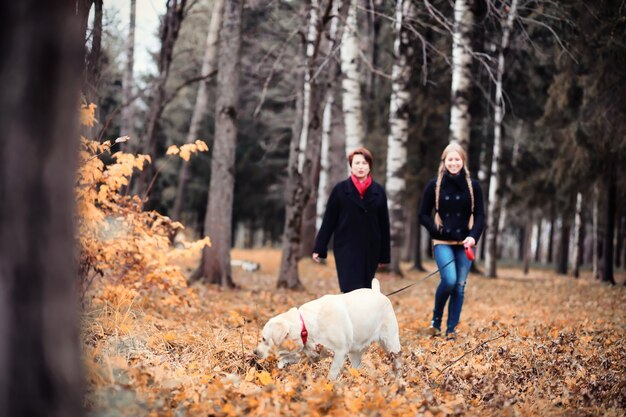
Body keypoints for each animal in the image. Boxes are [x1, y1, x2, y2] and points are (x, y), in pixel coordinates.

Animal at [252, 278, 400, 378]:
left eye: (264, 339)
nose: (254, 352)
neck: (306, 327)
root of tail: (378, 292)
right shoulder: (311, 355)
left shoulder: (340, 352)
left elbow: (332, 374)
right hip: (355, 352)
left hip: (391, 342)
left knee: (398, 361)